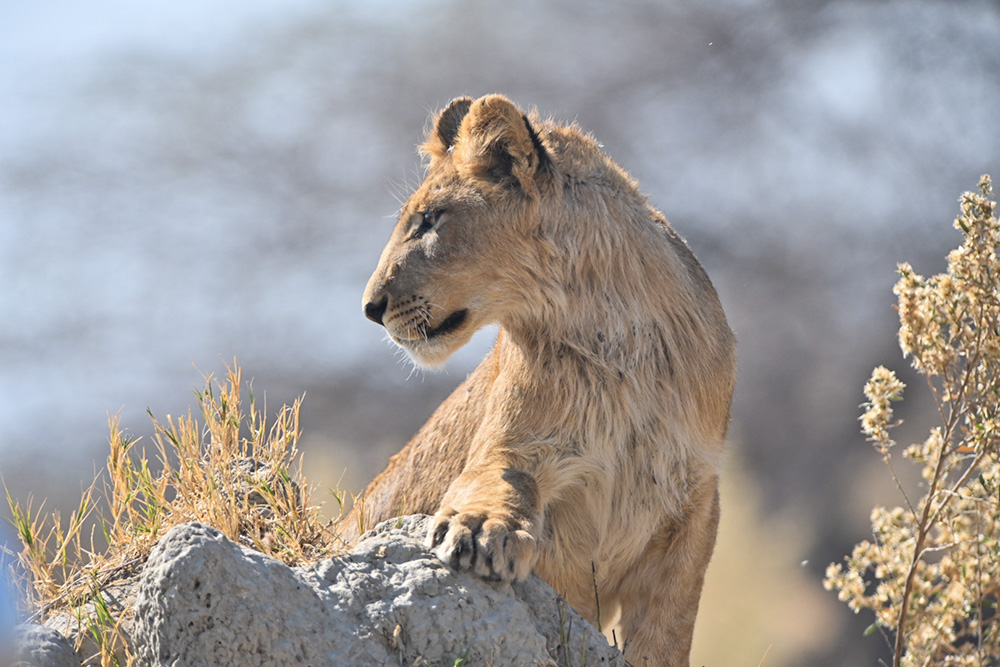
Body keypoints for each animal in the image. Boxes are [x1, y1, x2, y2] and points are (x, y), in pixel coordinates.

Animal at [348, 94, 736, 666]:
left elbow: (666, 629)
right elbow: (497, 479)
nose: (370, 309)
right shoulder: (510, 445)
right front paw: (479, 529)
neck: (615, 337)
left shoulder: (695, 500)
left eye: (429, 220)